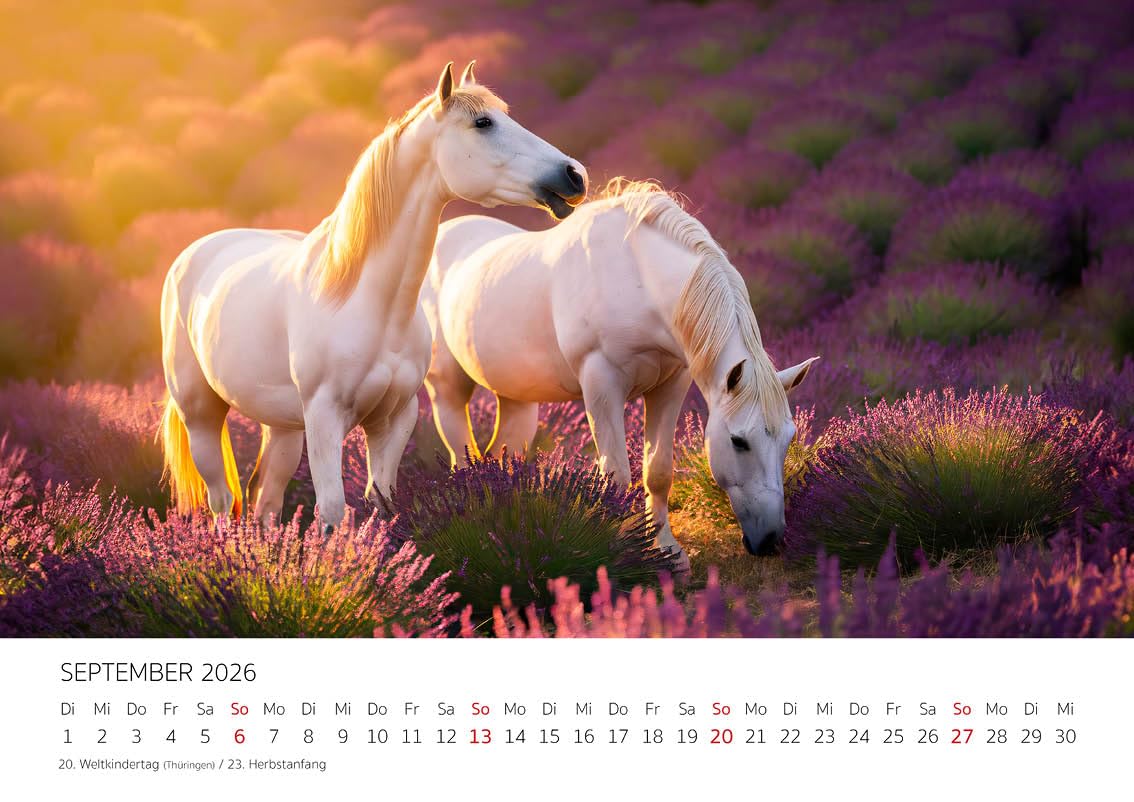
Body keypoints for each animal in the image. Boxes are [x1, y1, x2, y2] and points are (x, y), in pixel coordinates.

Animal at [160, 61, 588, 532]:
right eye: (483, 123)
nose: (574, 174)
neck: (365, 302)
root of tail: (194, 254)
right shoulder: (325, 419)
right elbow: (332, 510)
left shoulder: (393, 419)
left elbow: (380, 502)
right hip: (201, 416)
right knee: (222, 500)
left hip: (284, 428)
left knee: (265, 498)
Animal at [421, 181, 817, 569]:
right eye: (738, 441)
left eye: (789, 439)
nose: (769, 540)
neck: (636, 277)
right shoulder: (601, 385)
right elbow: (616, 478)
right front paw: (622, 554)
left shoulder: (671, 384)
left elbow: (657, 472)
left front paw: (668, 552)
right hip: (448, 389)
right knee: (462, 458)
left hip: (517, 399)